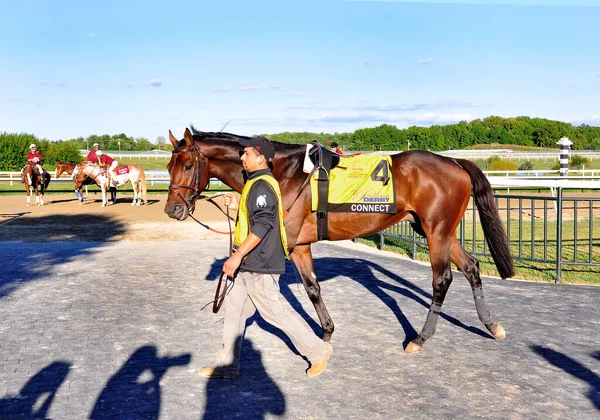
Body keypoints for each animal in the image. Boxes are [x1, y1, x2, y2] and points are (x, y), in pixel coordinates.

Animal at [165, 128, 516, 354]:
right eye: (168, 166)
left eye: (187, 165)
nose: (173, 208)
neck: (281, 173)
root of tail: (455, 163)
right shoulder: (300, 246)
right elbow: (312, 288)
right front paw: (326, 333)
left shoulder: (284, 243)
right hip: (438, 231)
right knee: (471, 268)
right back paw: (492, 325)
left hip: (437, 231)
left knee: (442, 279)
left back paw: (420, 338)